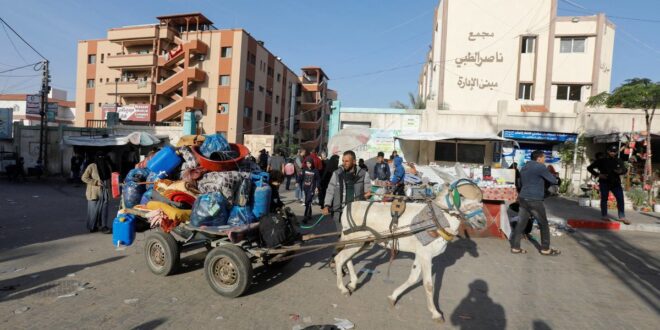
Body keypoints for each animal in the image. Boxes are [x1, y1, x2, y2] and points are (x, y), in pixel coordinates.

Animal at [336, 180, 484, 322]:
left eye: (481, 200)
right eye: (462, 196)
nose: (482, 221)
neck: (436, 220)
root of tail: (348, 207)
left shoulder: (420, 255)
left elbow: (412, 279)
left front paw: (393, 296)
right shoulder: (426, 256)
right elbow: (428, 285)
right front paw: (435, 313)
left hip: (360, 243)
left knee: (347, 258)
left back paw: (353, 283)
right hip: (356, 241)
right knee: (339, 259)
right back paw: (343, 288)